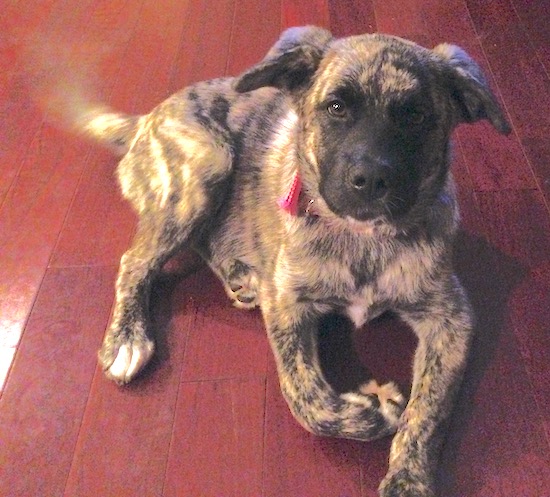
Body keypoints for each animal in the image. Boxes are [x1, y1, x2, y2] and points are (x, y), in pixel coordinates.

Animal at [70, 27, 512, 496]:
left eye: (414, 116)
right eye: (336, 107)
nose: (371, 180)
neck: (362, 238)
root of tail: (147, 119)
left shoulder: (451, 318)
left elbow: (428, 409)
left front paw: (408, 477)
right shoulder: (286, 301)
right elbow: (304, 395)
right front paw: (367, 412)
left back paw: (242, 276)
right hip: (208, 160)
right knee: (136, 260)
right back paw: (127, 338)